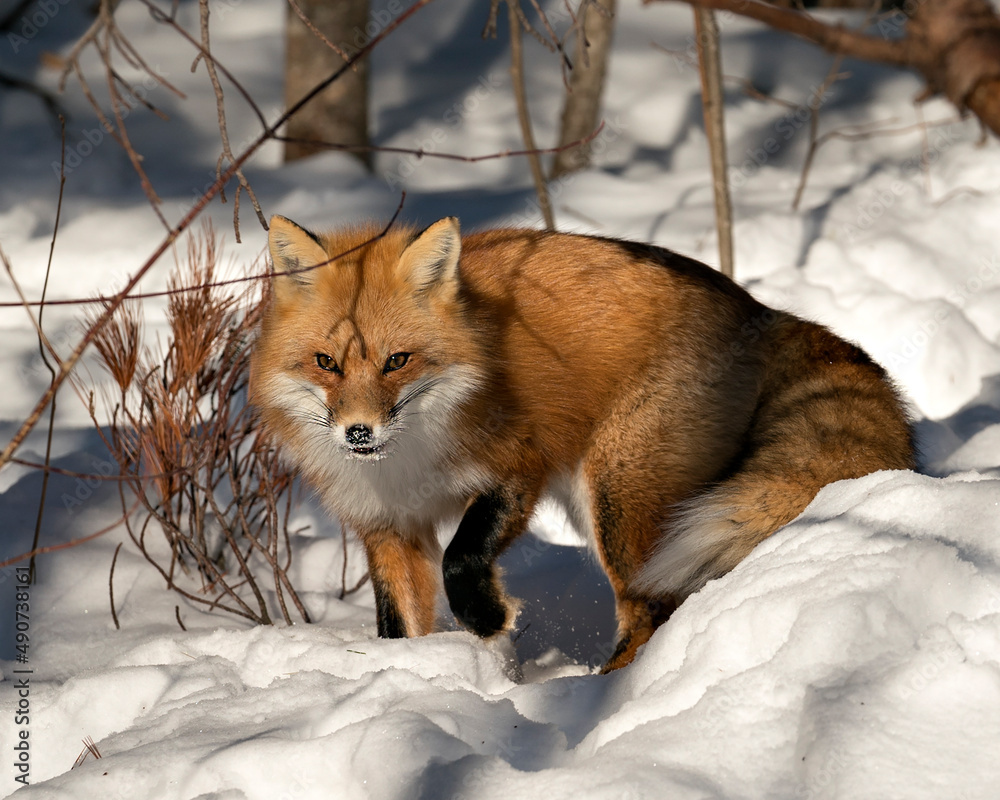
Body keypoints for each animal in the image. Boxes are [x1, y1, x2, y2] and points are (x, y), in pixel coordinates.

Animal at [250, 215, 915, 672]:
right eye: (327, 363)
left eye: (397, 361)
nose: (359, 432)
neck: (408, 458)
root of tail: (757, 307)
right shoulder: (387, 524)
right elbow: (398, 625)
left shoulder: (517, 467)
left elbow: (461, 559)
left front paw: (490, 620)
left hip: (618, 500)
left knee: (651, 607)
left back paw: (603, 696)